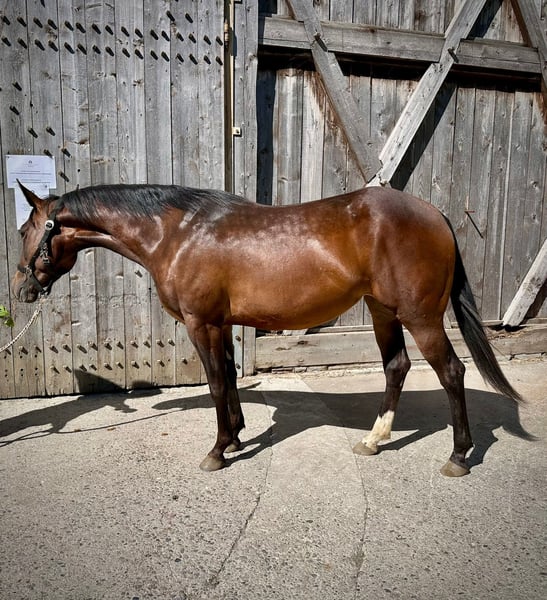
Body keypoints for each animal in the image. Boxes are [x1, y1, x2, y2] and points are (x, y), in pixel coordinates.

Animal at [11, 182, 522, 476]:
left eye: (22, 230)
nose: (20, 290)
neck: (177, 233)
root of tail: (435, 214)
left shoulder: (202, 323)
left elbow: (217, 384)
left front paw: (218, 451)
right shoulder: (222, 324)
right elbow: (230, 379)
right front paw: (237, 435)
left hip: (420, 317)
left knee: (452, 372)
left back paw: (458, 457)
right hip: (382, 311)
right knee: (396, 366)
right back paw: (374, 440)